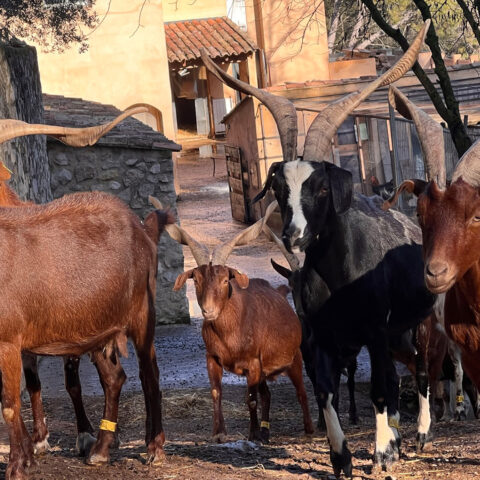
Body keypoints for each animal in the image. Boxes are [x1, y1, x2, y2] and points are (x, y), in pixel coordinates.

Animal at [150, 197, 316, 444]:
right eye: (196, 280)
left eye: (224, 280)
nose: (208, 311)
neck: (231, 334)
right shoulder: (213, 358)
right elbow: (216, 392)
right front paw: (219, 432)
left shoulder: (253, 364)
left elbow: (251, 398)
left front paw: (252, 434)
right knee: (267, 393)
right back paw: (266, 432)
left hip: (294, 358)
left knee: (301, 392)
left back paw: (309, 429)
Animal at [201, 20, 434, 478]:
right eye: (278, 187)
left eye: (322, 187)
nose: (293, 234)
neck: (339, 281)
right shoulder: (319, 340)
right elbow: (326, 391)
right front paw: (342, 457)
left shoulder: (374, 331)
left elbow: (380, 390)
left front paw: (381, 453)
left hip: (416, 324)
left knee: (421, 368)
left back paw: (417, 435)